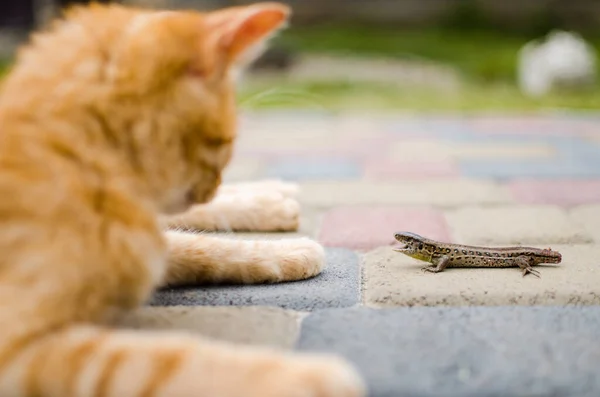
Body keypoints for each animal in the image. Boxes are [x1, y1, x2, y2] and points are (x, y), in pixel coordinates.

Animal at [0, 3, 366, 396]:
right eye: (222, 143)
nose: (211, 186)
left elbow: (206, 248)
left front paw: (288, 250)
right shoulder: (18, 350)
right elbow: (159, 363)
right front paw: (308, 378)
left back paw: (274, 195)